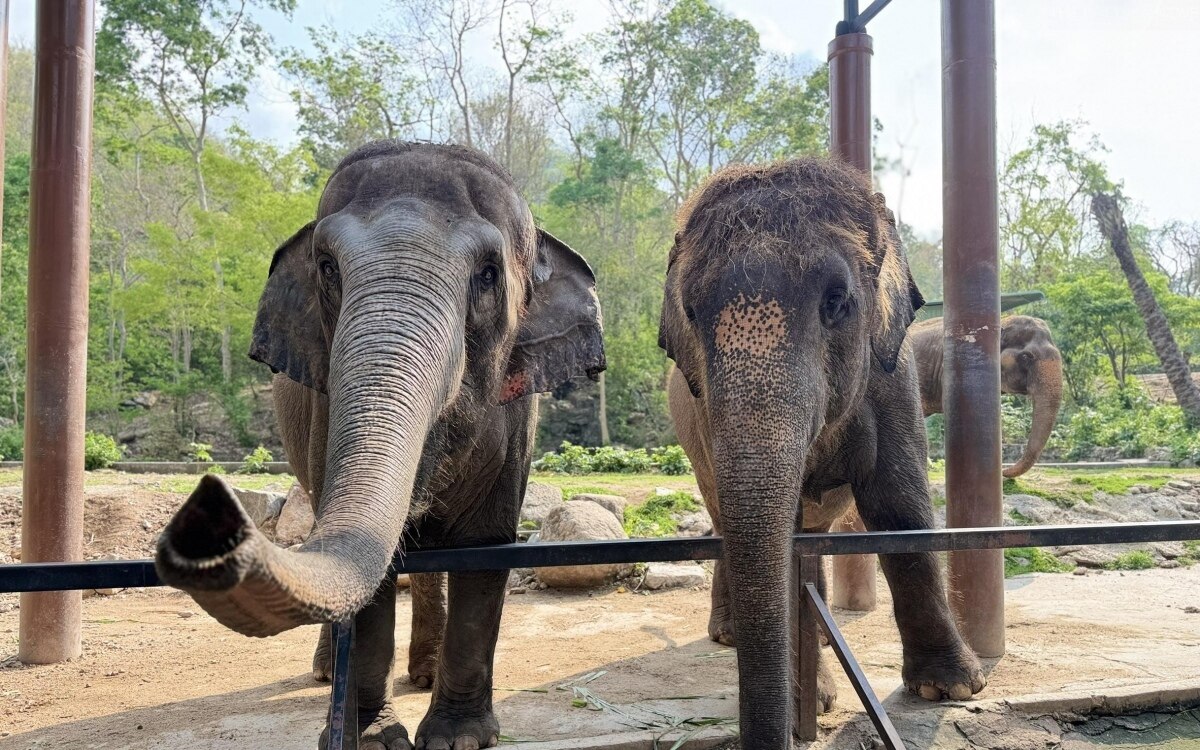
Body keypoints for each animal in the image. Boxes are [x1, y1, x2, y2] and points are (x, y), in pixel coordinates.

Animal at [154, 140, 604, 748]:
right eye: (327, 267)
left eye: (488, 275)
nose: (207, 513)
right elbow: (375, 569)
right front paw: (371, 739)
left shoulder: (516, 418)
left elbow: (484, 548)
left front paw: (456, 740)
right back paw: (329, 675)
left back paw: (425, 673)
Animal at [662, 154, 988, 744]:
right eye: (692, 314)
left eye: (837, 303)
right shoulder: (703, 414)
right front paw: (808, 702)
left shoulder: (893, 377)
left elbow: (897, 504)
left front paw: (951, 689)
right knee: (727, 521)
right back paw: (731, 636)